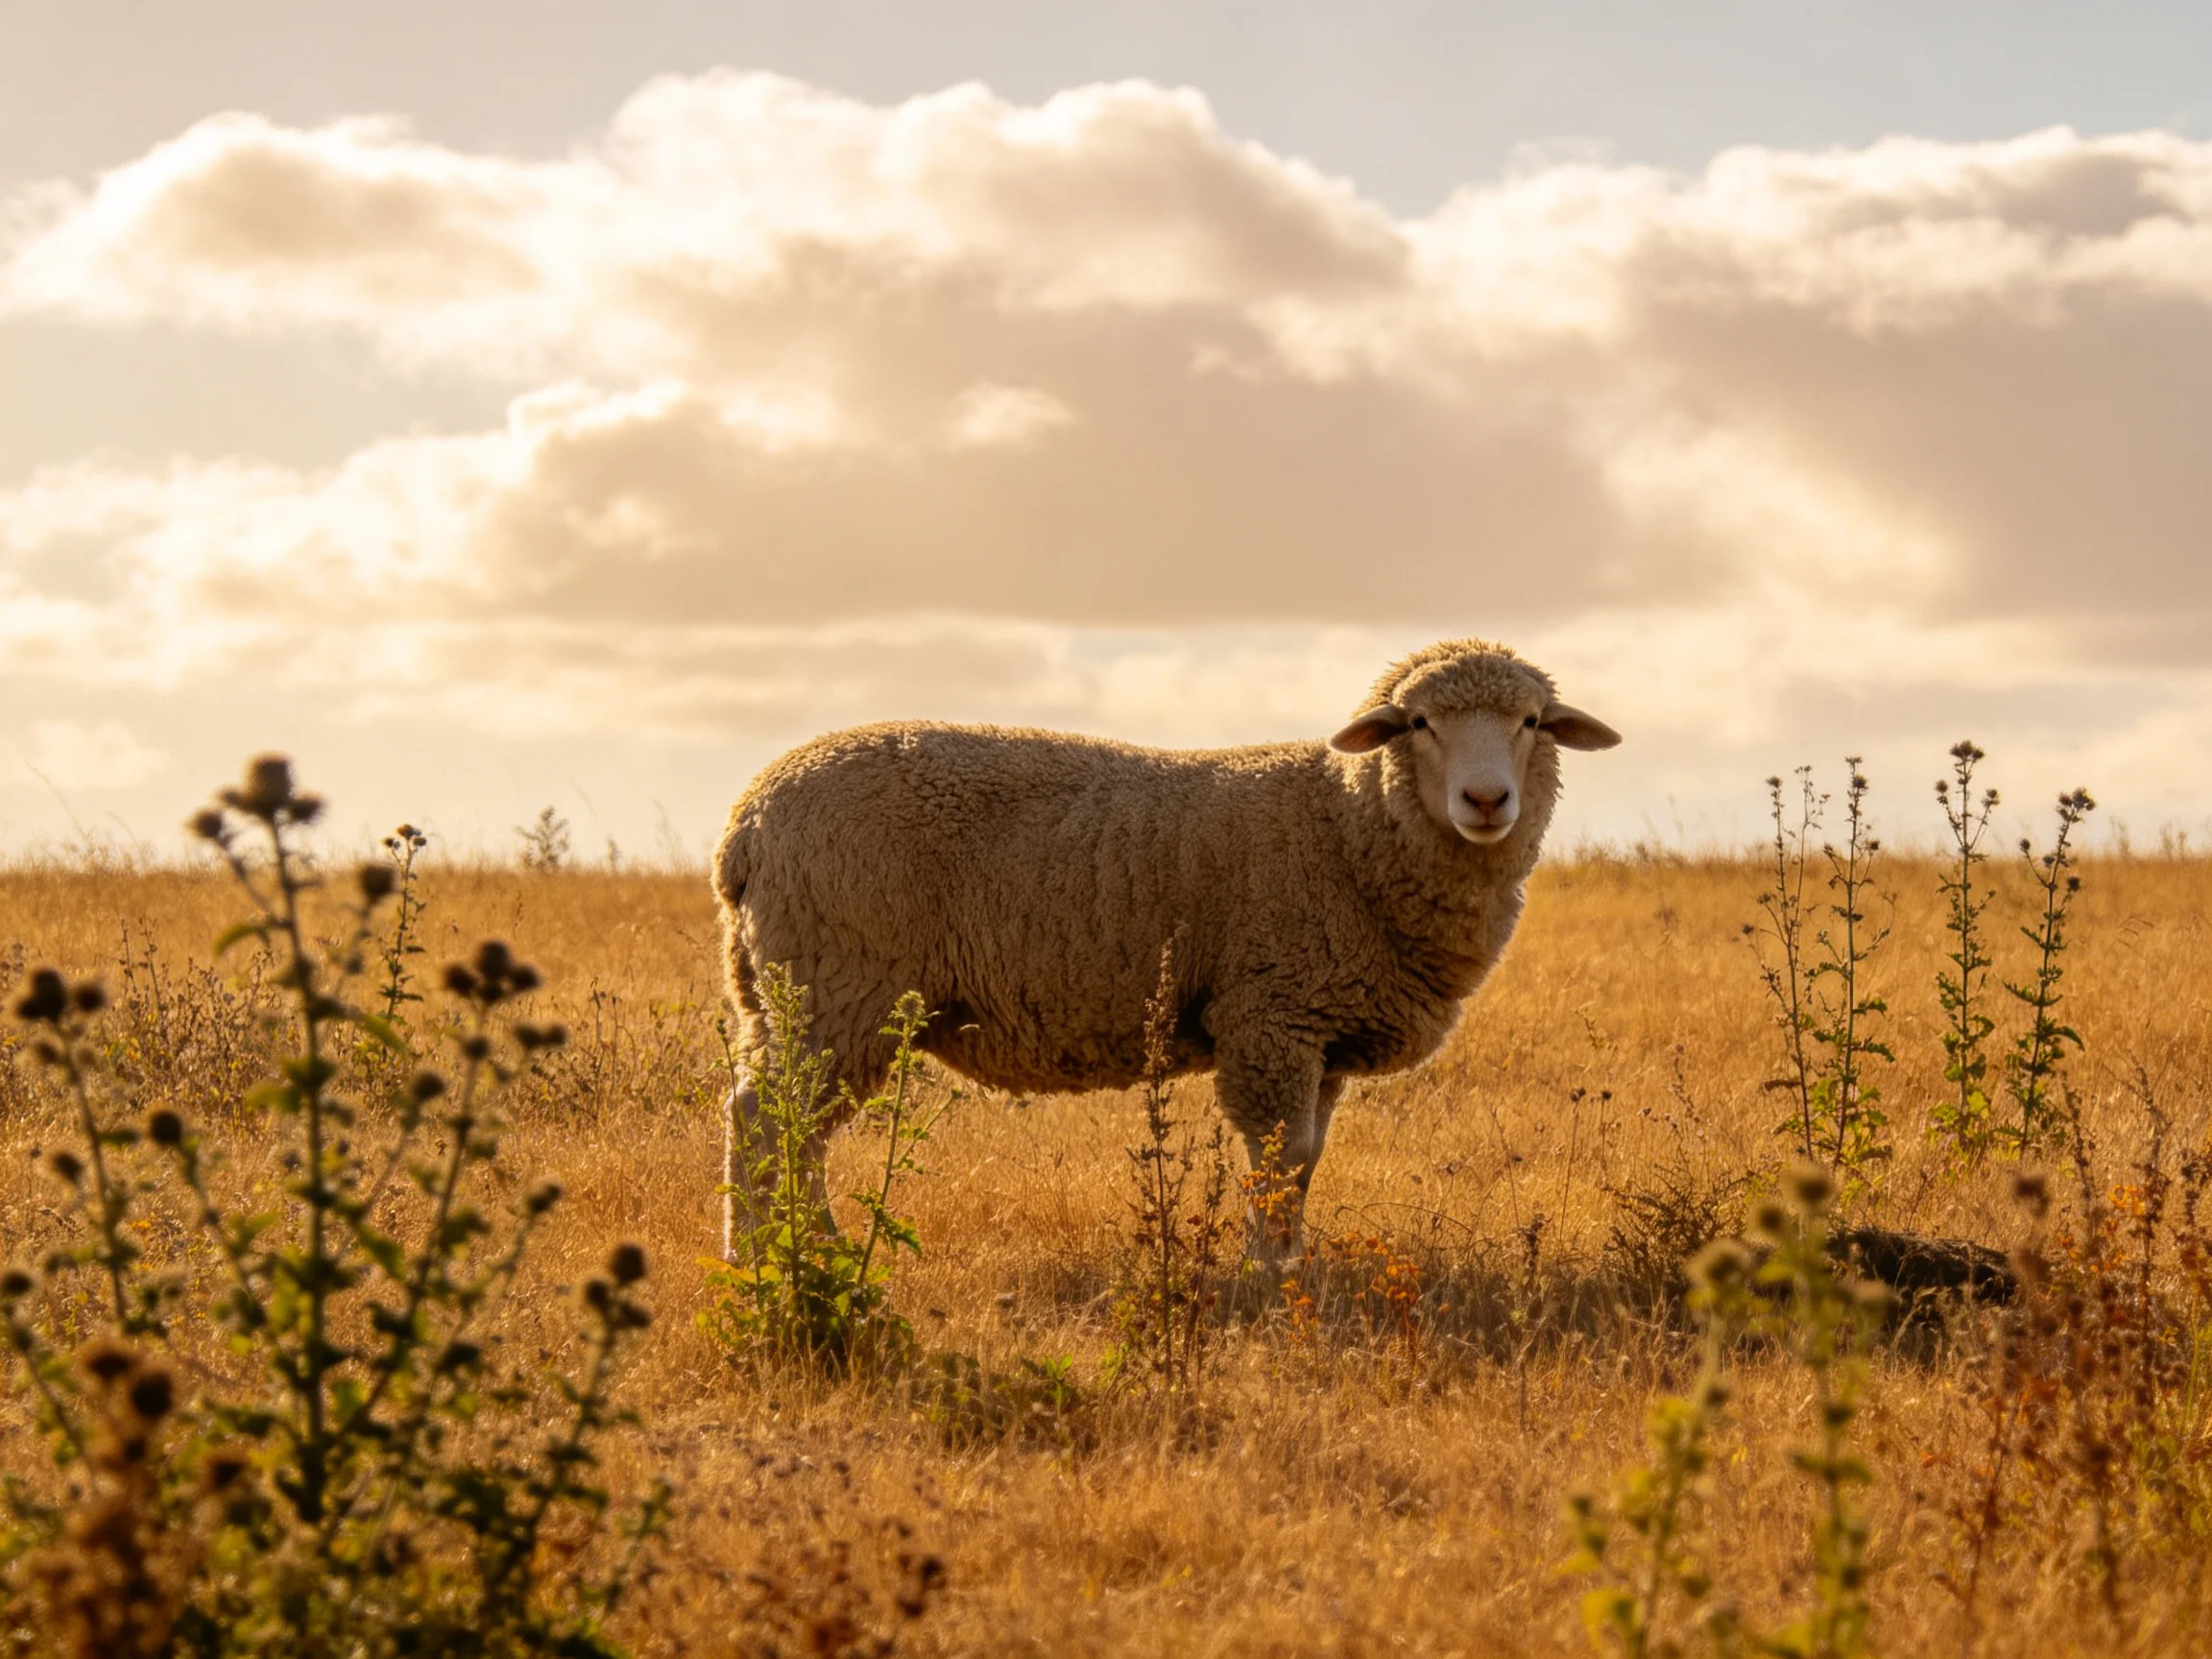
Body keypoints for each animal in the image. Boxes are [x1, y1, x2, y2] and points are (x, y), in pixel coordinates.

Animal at [711, 638, 1620, 1258]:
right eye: (1420, 722)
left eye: (1532, 722)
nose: (1486, 800)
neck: (1347, 826)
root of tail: (746, 825)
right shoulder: (1270, 1015)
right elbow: (1278, 1154)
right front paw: (1268, 1272)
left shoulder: (1320, 1031)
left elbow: (1307, 1159)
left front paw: (1288, 1259)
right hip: (838, 983)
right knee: (766, 1117)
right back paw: (772, 1259)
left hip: (787, 993)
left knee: (791, 1123)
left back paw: (804, 1246)